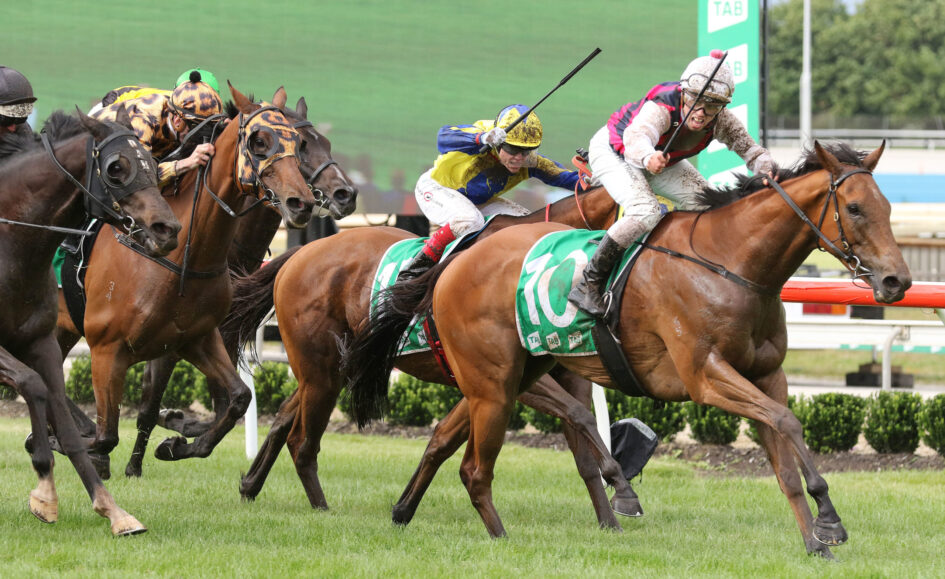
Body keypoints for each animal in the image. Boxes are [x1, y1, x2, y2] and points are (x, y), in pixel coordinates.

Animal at [0, 107, 180, 534]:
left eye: (153, 164)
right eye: (116, 168)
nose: (167, 230)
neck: (12, 243)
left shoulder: (41, 342)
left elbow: (63, 422)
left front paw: (111, 510)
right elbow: (33, 386)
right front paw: (45, 489)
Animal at [61, 95, 358, 478]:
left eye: (321, 143)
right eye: (304, 146)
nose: (345, 194)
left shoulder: (204, 335)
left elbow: (232, 399)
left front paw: (175, 434)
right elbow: (154, 403)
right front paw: (145, 452)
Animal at [222, 184, 646, 530]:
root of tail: (300, 251)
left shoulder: (553, 373)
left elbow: (579, 441)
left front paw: (610, 520)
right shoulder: (510, 377)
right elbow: (578, 416)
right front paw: (622, 487)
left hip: (333, 366)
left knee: (285, 416)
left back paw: (250, 484)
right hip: (322, 365)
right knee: (302, 436)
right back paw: (317, 506)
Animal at [343, 141, 912, 558]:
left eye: (888, 207)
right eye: (854, 207)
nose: (897, 281)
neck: (730, 262)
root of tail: (454, 263)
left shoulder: (766, 374)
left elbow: (783, 453)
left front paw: (817, 541)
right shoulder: (704, 376)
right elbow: (788, 423)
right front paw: (830, 522)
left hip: (510, 377)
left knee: (447, 440)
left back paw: (405, 511)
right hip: (494, 384)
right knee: (474, 467)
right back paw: (499, 538)